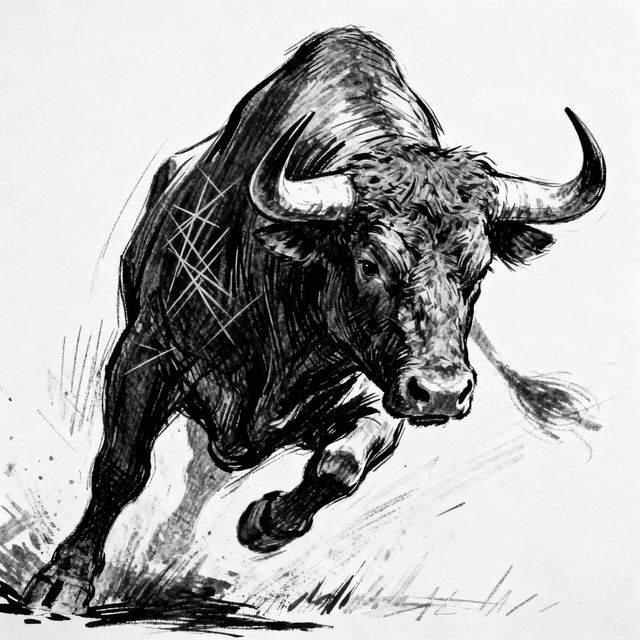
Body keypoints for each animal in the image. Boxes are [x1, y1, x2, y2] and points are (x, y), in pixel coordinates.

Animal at [23, 26, 605, 614]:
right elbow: (121, 467)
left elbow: (342, 464)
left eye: (479, 267)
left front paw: (263, 523)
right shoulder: (146, 354)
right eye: (369, 262)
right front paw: (63, 581)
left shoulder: (378, 389)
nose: (441, 393)